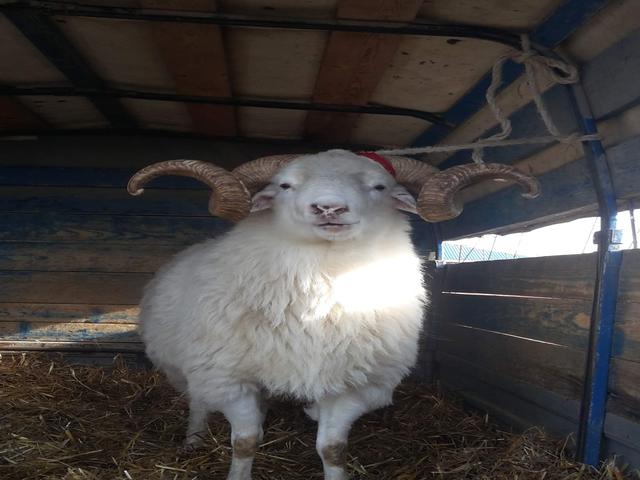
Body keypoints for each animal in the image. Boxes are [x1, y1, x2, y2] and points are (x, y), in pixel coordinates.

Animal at [127, 149, 539, 480]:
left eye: (379, 186)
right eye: (285, 185)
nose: (329, 208)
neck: (321, 289)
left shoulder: (352, 386)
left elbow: (332, 450)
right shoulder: (230, 379)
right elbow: (245, 442)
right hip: (189, 368)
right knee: (197, 402)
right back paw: (193, 441)